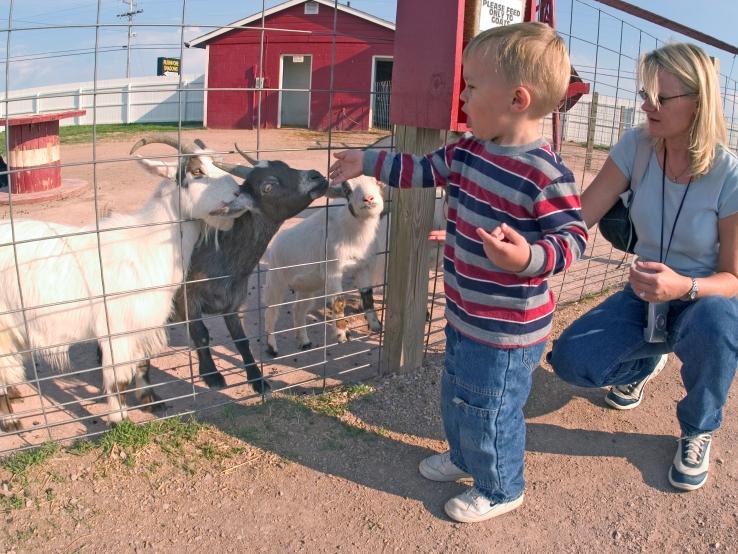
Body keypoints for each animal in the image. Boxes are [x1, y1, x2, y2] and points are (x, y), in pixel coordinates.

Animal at [0, 136, 250, 430]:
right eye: (197, 171)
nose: (240, 194)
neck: (145, 243)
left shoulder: (143, 322)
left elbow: (143, 364)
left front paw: (151, 401)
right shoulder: (116, 328)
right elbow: (117, 379)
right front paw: (118, 419)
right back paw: (10, 420)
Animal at [264, 175, 382, 354]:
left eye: (376, 181)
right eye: (347, 189)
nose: (369, 198)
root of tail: (272, 250)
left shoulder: (362, 266)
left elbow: (367, 294)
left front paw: (376, 325)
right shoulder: (333, 268)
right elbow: (339, 301)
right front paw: (342, 334)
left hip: (306, 287)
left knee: (298, 309)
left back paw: (304, 341)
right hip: (276, 280)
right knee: (271, 312)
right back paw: (272, 347)